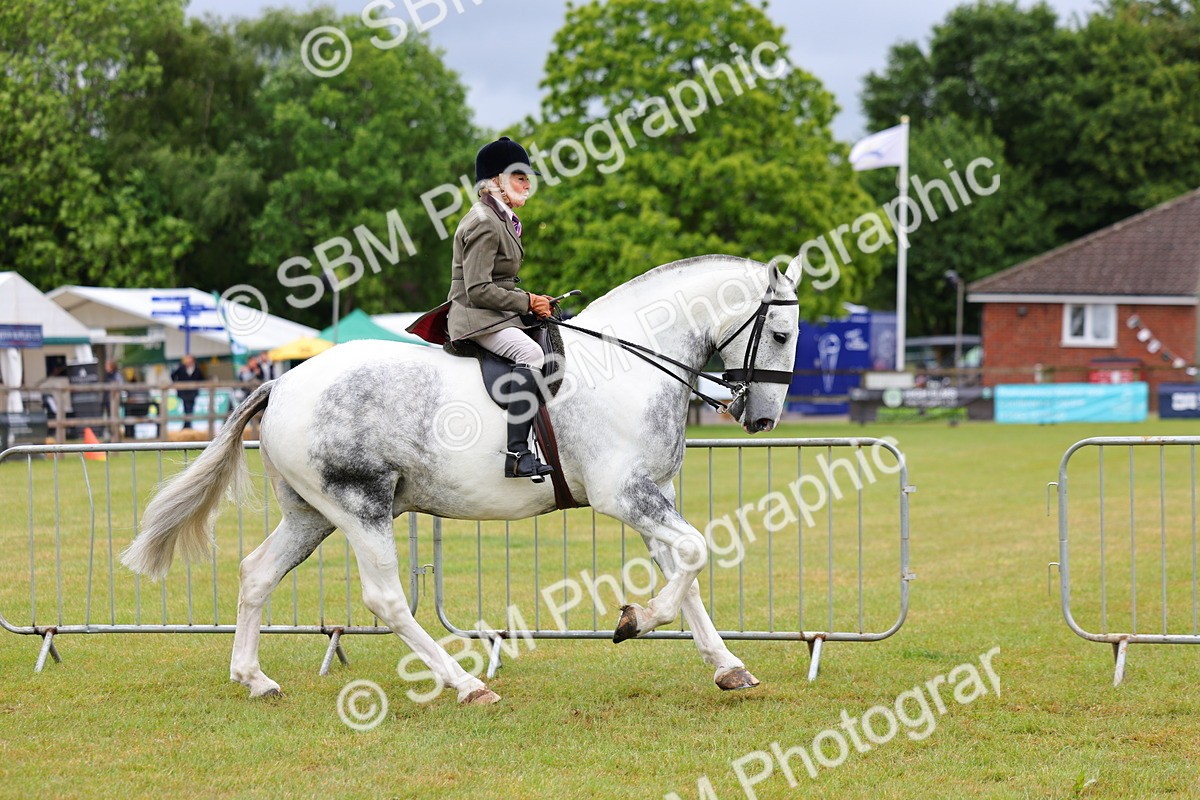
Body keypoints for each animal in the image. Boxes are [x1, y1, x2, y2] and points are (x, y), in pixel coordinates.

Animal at [121, 254, 803, 705]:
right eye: (780, 332)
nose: (762, 419)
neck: (631, 362)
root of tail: (282, 383)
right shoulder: (626, 496)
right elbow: (694, 554)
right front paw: (634, 621)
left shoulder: (653, 497)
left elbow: (685, 572)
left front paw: (726, 666)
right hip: (361, 508)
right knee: (387, 600)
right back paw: (467, 683)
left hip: (312, 515)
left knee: (257, 573)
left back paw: (254, 678)